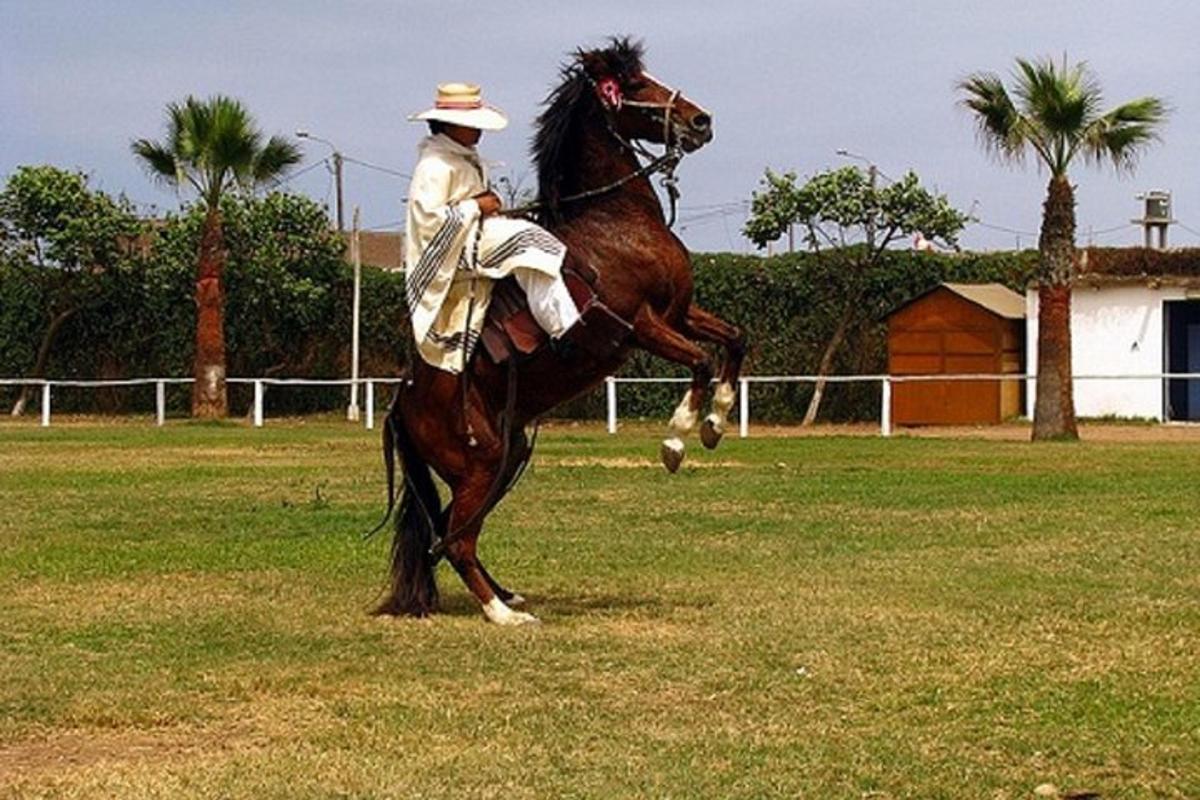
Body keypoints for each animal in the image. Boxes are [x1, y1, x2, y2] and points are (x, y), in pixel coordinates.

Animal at [379, 38, 744, 623]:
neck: (617, 222)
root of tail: (402, 401)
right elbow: (701, 361)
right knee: (455, 540)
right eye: (634, 84)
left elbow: (734, 340)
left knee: (454, 533)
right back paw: (503, 614)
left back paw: (506, 595)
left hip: (506, 457)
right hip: (480, 463)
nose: (699, 120)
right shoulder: (640, 325)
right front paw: (678, 439)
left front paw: (717, 421)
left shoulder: (680, 313)